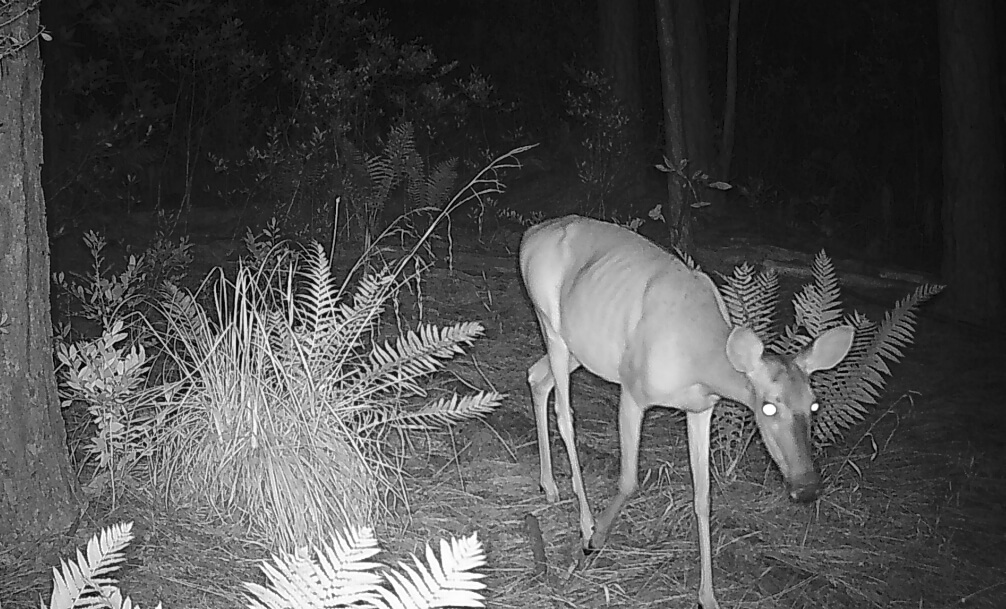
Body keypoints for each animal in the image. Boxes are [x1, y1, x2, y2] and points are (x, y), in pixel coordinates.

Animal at [519, 215, 854, 609]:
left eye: (814, 404)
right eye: (768, 406)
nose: (807, 488)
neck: (699, 360)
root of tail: (530, 234)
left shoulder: (701, 409)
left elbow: (704, 498)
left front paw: (707, 596)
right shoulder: (633, 389)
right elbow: (629, 480)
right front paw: (595, 539)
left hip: (581, 347)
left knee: (537, 378)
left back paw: (549, 485)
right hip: (550, 324)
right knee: (564, 412)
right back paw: (583, 519)